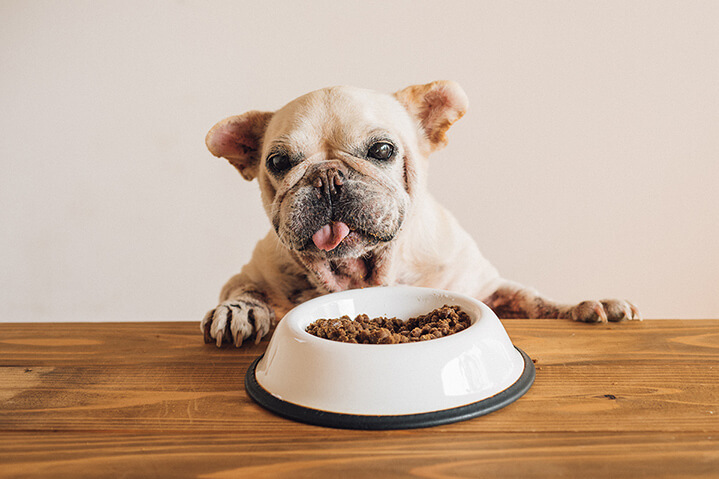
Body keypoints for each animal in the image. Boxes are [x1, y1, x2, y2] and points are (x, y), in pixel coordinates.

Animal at [198, 80, 640, 346]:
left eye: (382, 150)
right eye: (278, 162)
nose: (326, 177)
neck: (366, 275)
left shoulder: (486, 288)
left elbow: (533, 300)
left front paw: (585, 306)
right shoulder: (251, 273)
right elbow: (244, 289)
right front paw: (239, 312)